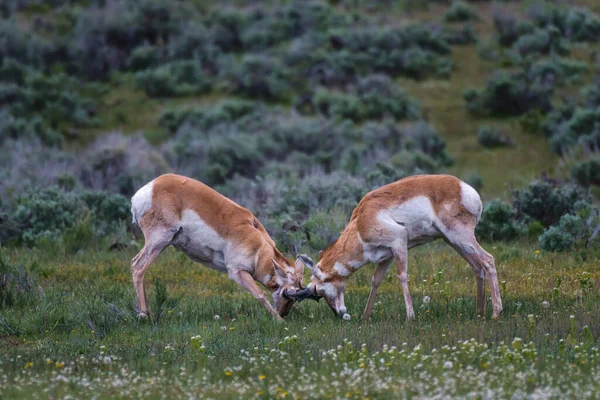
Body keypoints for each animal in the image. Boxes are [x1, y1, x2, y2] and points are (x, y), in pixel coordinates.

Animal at [129, 173, 302, 320]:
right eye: (289, 293)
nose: (284, 313)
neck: (258, 245)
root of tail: (149, 189)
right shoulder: (237, 272)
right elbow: (260, 294)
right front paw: (279, 320)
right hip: (158, 241)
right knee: (138, 268)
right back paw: (144, 315)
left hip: (162, 244)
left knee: (135, 265)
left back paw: (147, 312)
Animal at [288, 173, 504, 320]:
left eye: (319, 291)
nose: (339, 313)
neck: (361, 222)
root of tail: (464, 188)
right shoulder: (386, 256)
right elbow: (376, 281)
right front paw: (365, 316)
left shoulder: (399, 241)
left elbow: (402, 276)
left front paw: (410, 316)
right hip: (452, 241)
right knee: (477, 267)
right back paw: (479, 312)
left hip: (460, 237)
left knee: (488, 260)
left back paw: (496, 312)